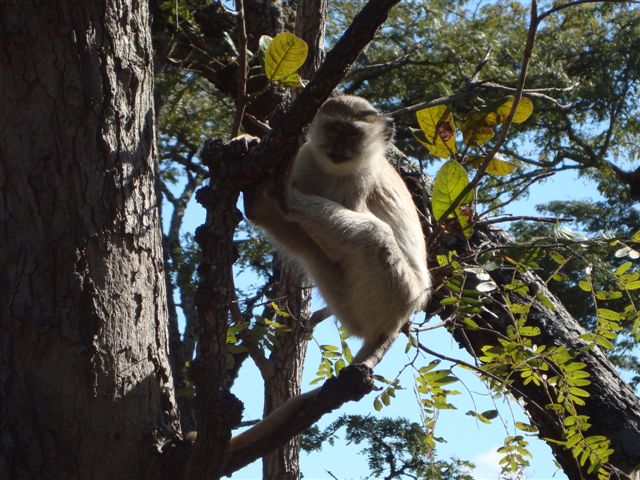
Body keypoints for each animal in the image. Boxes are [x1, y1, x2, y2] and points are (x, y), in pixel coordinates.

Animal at [226, 95, 431, 451]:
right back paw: (258, 202)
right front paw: (246, 141)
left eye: (352, 134)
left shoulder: (360, 180)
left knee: (371, 235)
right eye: (334, 129)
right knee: (292, 232)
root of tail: (397, 322)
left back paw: (279, 196)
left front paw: (281, 189)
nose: (338, 147)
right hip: (344, 297)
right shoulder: (306, 159)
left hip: (396, 293)